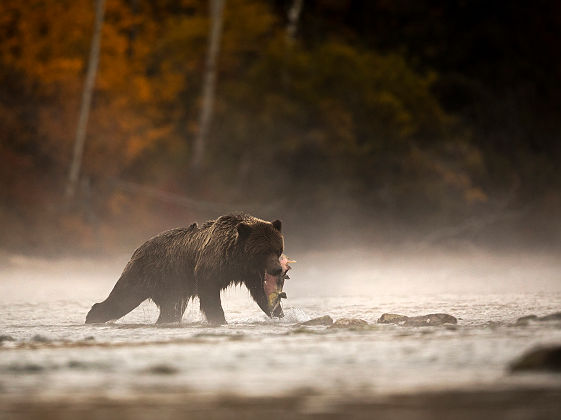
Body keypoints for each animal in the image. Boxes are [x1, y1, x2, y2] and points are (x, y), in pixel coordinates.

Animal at [84, 213, 284, 324]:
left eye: (277, 249)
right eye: (263, 251)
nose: (278, 270)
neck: (236, 258)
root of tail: (138, 247)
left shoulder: (250, 273)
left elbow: (261, 293)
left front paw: (278, 312)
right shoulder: (209, 267)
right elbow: (210, 295)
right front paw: (219, 319)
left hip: (172, 288)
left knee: (170, 310)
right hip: (144, 273)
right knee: (123, 296)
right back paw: (92, 316)